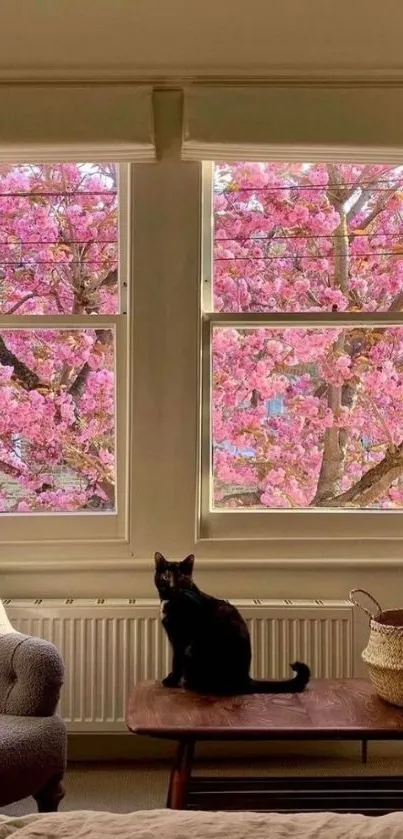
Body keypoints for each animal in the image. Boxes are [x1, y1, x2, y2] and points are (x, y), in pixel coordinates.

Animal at [155, 552, 312, 696]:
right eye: (166, 577)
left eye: (181, 578)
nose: (172, 586)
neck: (170, 601)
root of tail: (245, 679)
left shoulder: (181, 640)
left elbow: (176, 661)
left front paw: (171, 680)